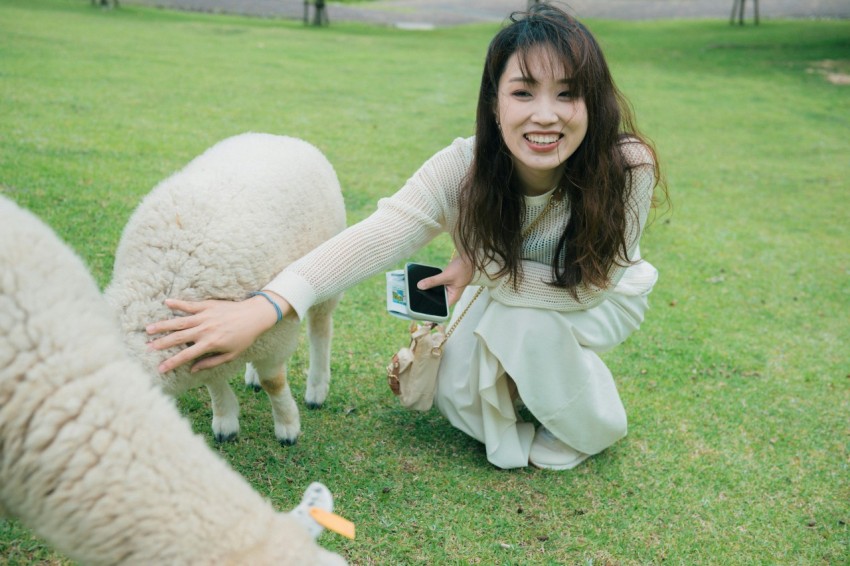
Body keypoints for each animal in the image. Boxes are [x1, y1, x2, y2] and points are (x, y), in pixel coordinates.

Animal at [0, 196, 348, 566]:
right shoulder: (209, 349)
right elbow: (215, 381)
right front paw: (226, 419)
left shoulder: (272, 336)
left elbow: (274, 382)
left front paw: (287, 426)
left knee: (320, 328)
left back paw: (316, 388)